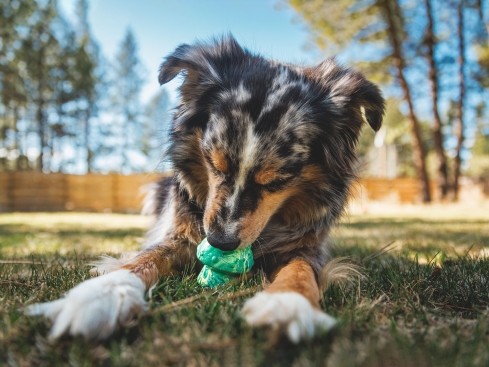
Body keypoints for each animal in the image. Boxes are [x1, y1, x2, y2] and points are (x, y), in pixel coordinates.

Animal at [25, 36, 386, 344]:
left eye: (278, 181)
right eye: (214, 163)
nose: (219, 242)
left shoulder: (307, 245)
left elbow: (300, 270)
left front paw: (287, 304)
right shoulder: (181, 232)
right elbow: (145, 258)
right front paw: (101, 294)